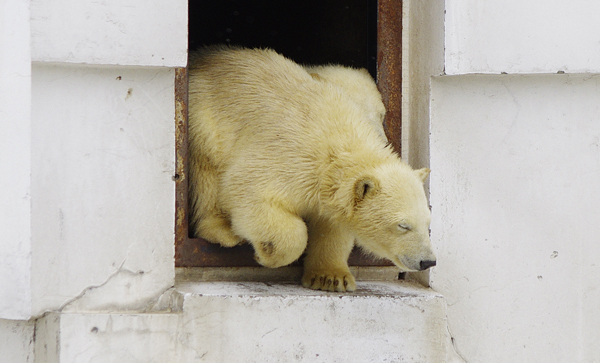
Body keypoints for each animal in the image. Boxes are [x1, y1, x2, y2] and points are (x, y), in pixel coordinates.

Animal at [189, 46, 436, 292]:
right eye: (403, 225)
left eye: (428, 223)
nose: (428, 261)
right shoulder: (291, 159)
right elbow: (246, 189)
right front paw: (268, 254)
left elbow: (332, 228)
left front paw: (331, 277)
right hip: (203, 120)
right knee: (207, 174)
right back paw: (222, 230)